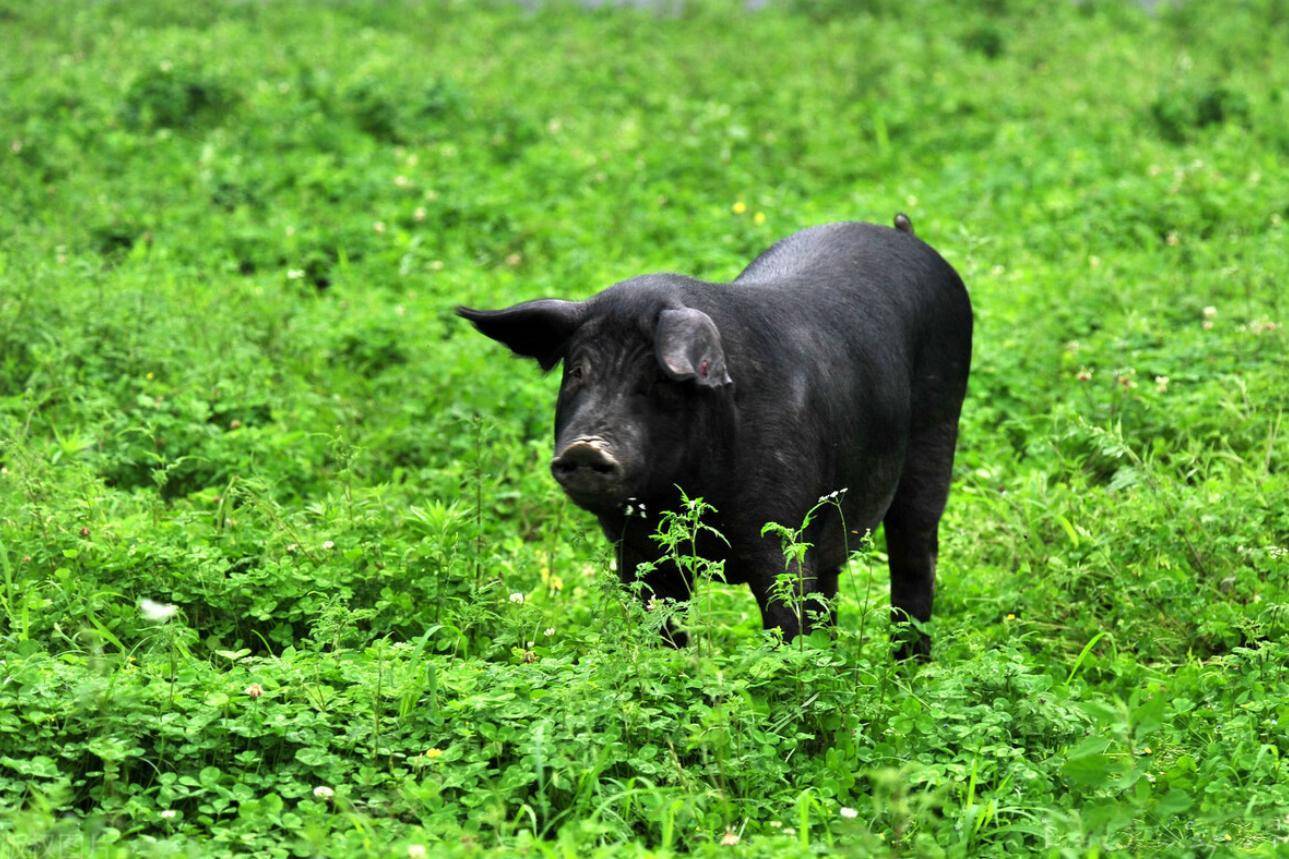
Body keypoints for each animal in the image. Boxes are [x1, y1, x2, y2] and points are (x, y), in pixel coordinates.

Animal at [458, 215, 969, 655]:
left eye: (660, 379)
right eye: (578, 371)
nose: (587, 447)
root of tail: (906, 235)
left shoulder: (780, 534)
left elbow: (787, 629)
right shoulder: (638, 553)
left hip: (938, 429)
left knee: (915, 556)